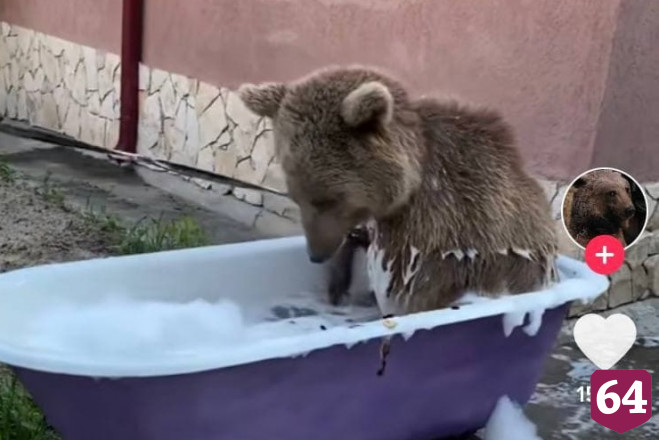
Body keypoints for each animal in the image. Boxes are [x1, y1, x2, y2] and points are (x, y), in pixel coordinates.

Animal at [239, 65, 559, 315]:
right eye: (297, 197)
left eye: (329, 199)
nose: (316, 255)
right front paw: (339, 279)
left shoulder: (438, 223)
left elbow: (407, 291)